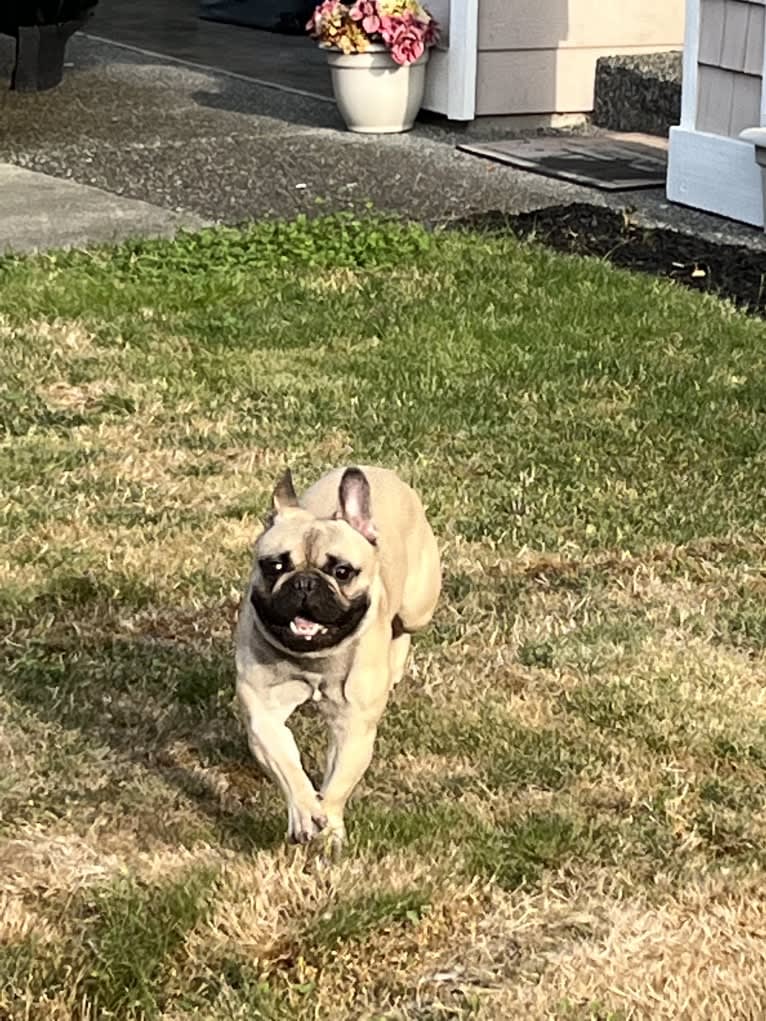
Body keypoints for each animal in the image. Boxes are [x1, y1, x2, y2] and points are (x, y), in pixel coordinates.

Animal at [233, 465, 441, 845]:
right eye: (275, 567)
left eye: (342, 572)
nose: (304, 582)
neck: (314, 660)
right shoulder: (263, 715)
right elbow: (288, 768)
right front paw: (305, 814)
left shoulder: (353, 727)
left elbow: (338, 782)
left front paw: (329, 826)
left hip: (418, 607)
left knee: (402, 628)